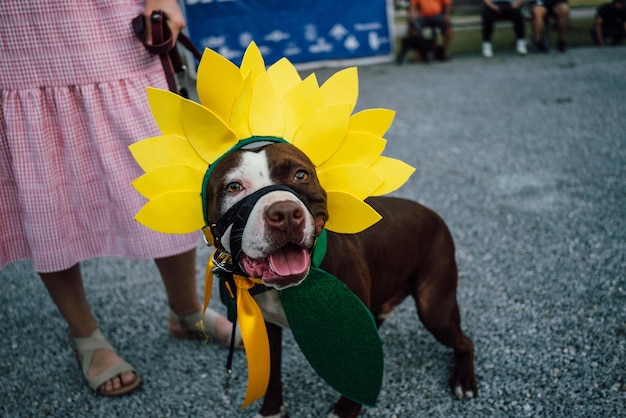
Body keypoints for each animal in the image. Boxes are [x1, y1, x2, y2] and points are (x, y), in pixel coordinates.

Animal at [202, 142, 476, 416]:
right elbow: (271, 376)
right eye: (233, 187)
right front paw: (271, 409)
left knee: (465, 342)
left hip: (436, 311)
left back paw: (464, 382)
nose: (286, 213)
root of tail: (434, 214)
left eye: (300, 175)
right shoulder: (266, 328)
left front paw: (346, 409)